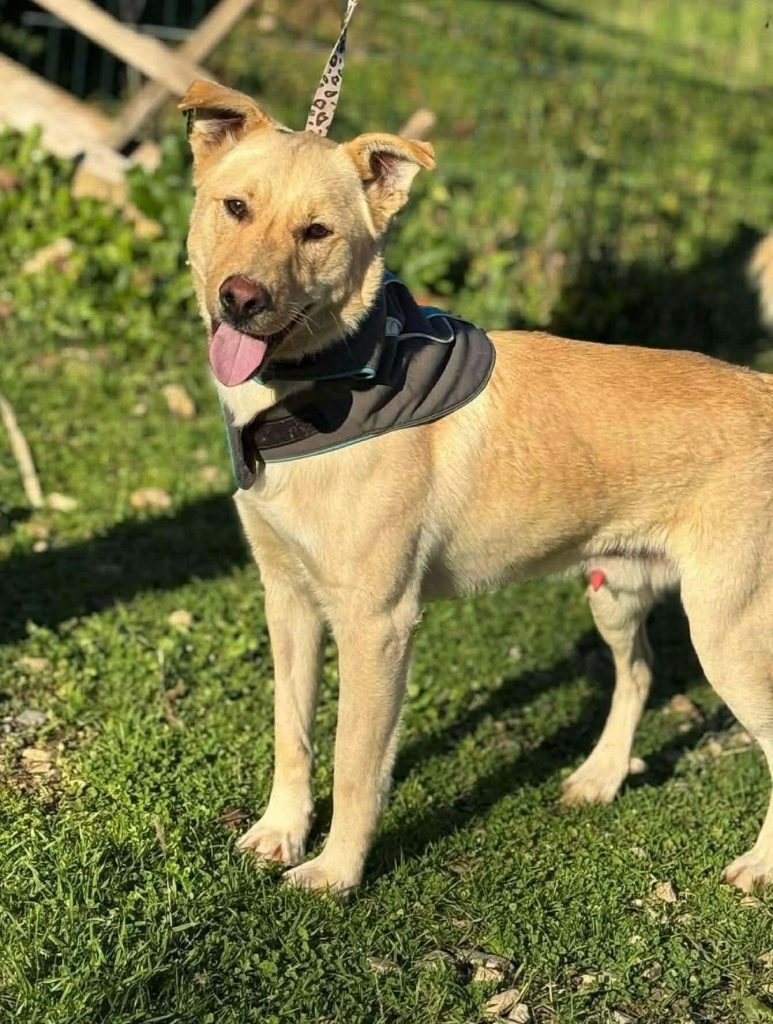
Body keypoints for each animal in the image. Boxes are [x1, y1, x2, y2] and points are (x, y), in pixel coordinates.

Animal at [180, 78, 773, 895]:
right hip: (616, 592)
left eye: (316, 232)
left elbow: (356, 763)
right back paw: (600, 777)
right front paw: (280, 831)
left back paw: (757, 866)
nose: (240, 298)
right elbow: (291, 731)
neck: (331, 383)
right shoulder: (288, 597)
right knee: (641, 673)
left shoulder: (377, 624)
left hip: (728, 630)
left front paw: (336, 872)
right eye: (234, 206)